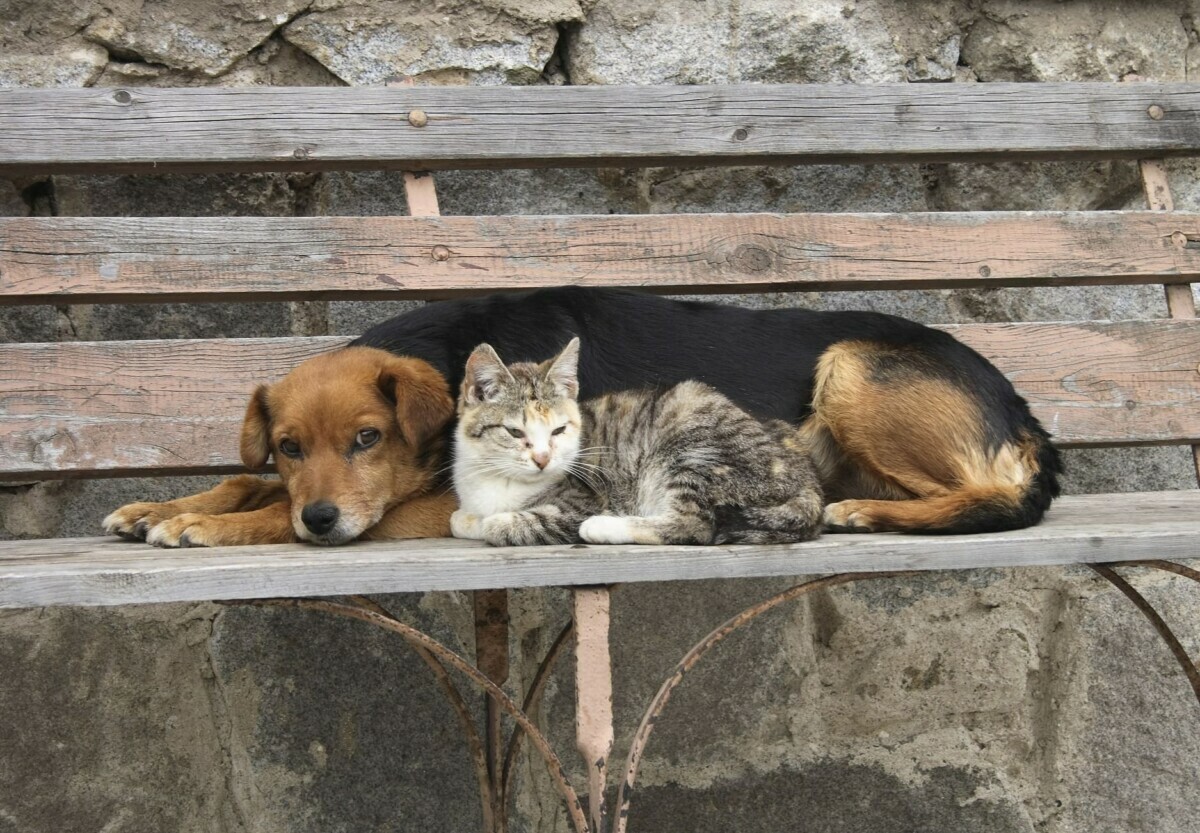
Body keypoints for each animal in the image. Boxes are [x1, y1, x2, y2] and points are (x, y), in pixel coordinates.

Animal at [451, 336, 825, 552]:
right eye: (515, 433)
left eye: (558, 430)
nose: (543, 459)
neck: (498, 479)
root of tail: (810, 485)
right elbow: (460, 518)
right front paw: (468, 518)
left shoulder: (583, 499)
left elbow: (502, 524)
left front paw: (491, 522)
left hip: (695, 447)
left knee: (694, 525)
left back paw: (603, 527)